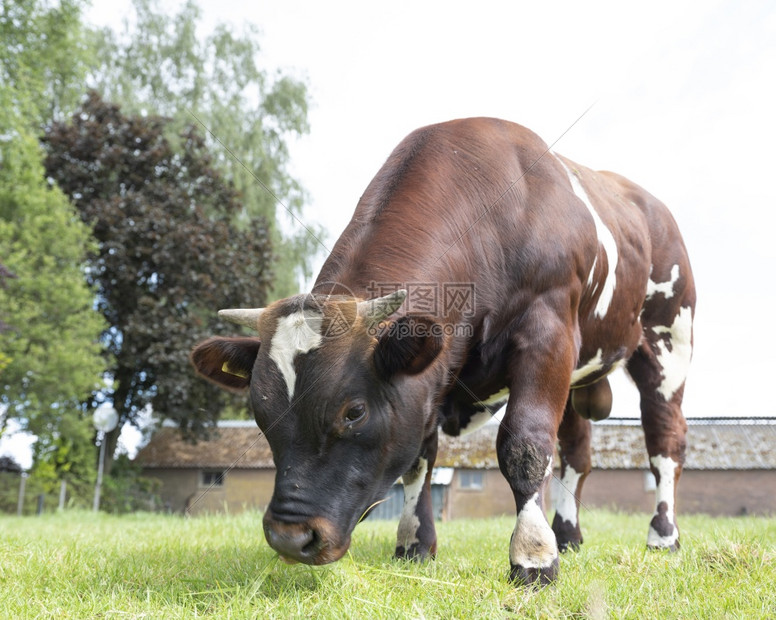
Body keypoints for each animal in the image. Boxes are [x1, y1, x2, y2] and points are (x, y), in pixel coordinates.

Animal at [189, 117, 696, 588]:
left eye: (353, 412)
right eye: (259, 410)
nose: (290, 537)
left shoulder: (547, 331)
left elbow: (525, 443)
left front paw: (532, 556)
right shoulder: (428, 381)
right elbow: (419, 459)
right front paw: (415, 543)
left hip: (668, 339)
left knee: (664, 440)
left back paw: (662, 535)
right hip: (580, 370)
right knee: (576, 450)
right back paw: (568, 535)